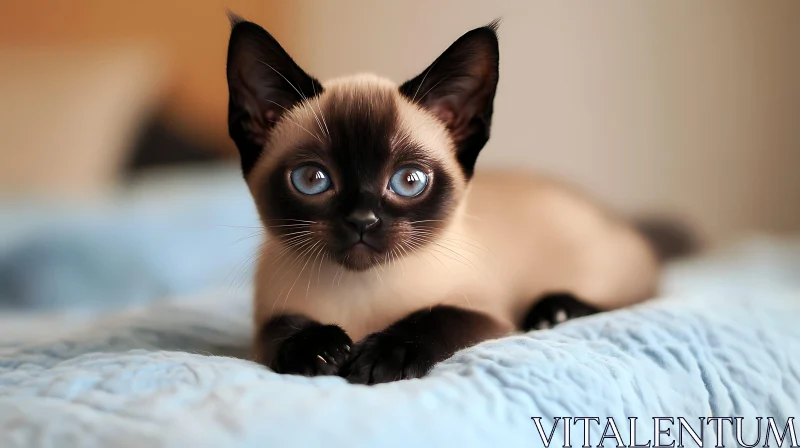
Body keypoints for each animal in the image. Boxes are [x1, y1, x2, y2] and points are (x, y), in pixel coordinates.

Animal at [223, 15, 656, 384]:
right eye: (312, 180)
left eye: (409, 181)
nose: (362, 220)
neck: (361, 294)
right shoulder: (267, 323)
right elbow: (285, 328)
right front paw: (319, 350)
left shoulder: (488, 317)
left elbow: (435, 317)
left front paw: (382, 357)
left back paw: (554, 312)